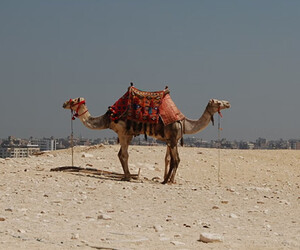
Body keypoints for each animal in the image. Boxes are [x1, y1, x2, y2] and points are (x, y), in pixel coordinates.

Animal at [62, 87, 229, 184]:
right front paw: (167, 180)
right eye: (218, 102)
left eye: (73, 100)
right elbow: (173, 159)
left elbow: (169, 159)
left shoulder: (170, 139)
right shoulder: (168, 139)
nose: (228, 103)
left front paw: (166, 179)